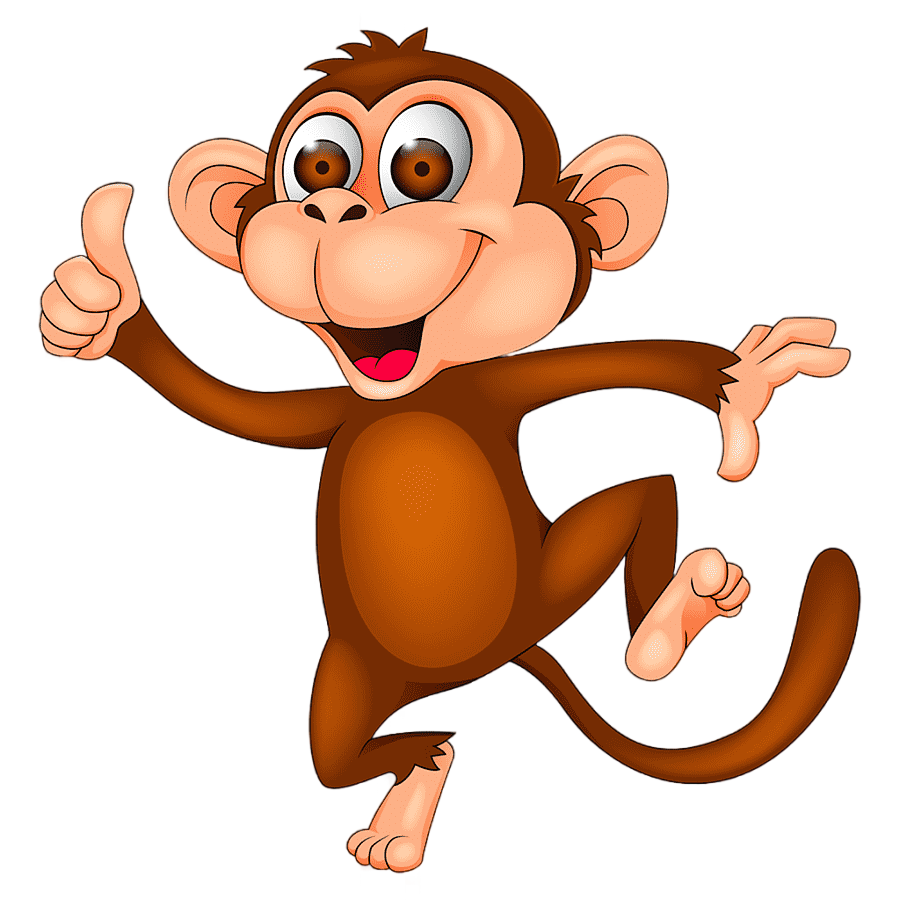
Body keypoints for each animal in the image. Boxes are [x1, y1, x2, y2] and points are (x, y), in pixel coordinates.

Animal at [38, 31, 858, 873]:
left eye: (424, 168)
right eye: (316, 164)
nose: (331, 208)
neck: (411, 394)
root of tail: (501, 659)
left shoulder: (495, 383)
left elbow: (622, 364)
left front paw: (747, 383)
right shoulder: (332, 411)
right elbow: (227, 405)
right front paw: (98, 312)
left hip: (548, 582)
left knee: (647, 496)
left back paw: (671, 623)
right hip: (351, 676)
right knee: (376, 752)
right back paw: (405, 810)